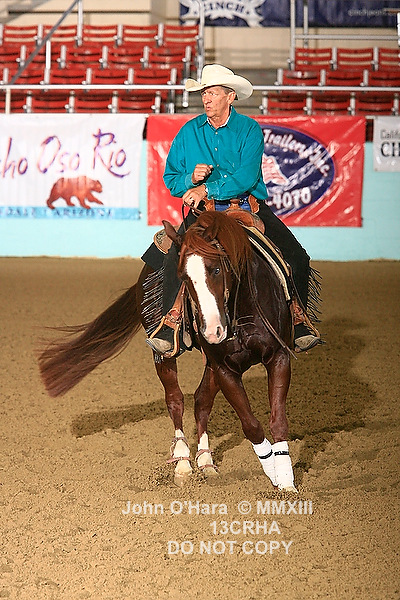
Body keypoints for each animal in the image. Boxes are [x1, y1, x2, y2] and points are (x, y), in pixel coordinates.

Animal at [38, 209, 298, 492]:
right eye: (183, 277)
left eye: (216, 268)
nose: (212, 331)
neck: (241, 314)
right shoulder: (226, 368)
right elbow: (250, 425)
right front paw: (275, 474)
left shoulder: (278, 357)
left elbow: (277, 420)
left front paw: (285, 483)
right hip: (164, 355)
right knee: (175, 400)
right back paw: (183, 463)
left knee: (201, 401)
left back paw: (206, 463)